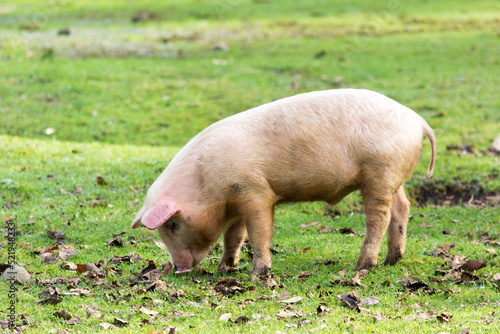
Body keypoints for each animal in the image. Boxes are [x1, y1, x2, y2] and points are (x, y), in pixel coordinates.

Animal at [131, 88, 436, 276]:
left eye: (172, 225)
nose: (178, 268)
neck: (205, 183)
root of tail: (418, 119)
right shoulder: (236, 200)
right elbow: (234, 236)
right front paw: (225, 268)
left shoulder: (256, 192)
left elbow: (258, 232)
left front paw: (257, 275)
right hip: (393, 177)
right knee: (403, 208)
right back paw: (392, 261)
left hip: (380, 173)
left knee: (379, 218)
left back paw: (362, 266)